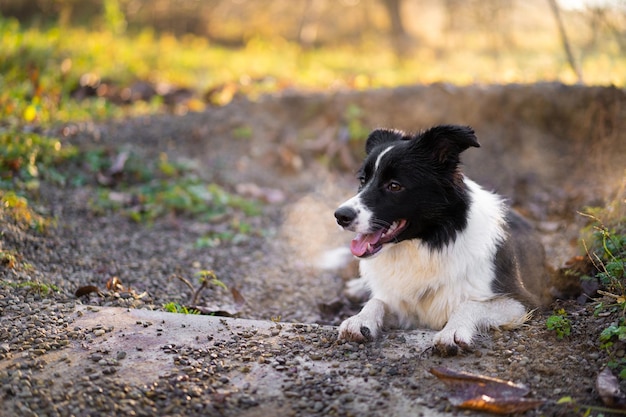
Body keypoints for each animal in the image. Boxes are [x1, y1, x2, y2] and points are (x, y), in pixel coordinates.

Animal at [332, 124, 544, 354]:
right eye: (362, 180)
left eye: (394, 186)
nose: (340, 216)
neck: (429, 243)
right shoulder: (402, 303)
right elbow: (377, 301)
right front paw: (359, 319)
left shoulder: (523, 302)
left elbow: (469, 304)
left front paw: (452, 331)